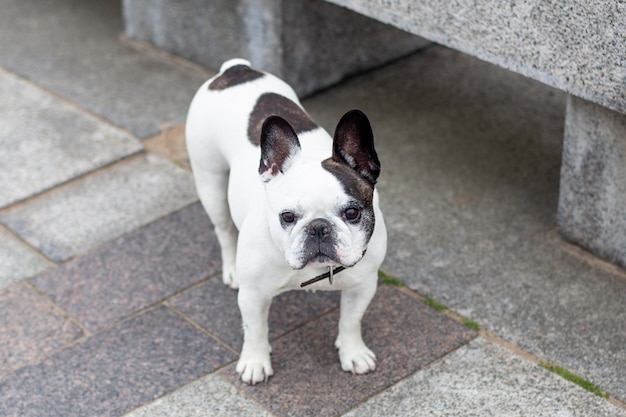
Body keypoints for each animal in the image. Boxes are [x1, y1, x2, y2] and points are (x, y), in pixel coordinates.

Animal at [184, 57, 386, 384]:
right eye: (287, 217)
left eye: (352, 213)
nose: (319, 227)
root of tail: (234, 70)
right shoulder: (253, 295)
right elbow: (255, 330)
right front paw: (255, 362)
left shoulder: (362, 286)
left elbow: (351, 321)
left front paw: (353, 353)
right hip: (209, 180)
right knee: (224, 229)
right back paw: (231, 269)